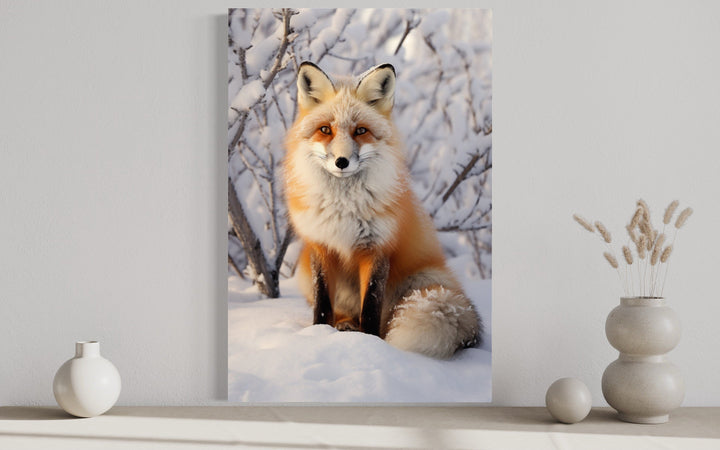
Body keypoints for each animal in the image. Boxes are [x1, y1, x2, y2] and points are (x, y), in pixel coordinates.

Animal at [283, 61, 482, 359]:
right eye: (326, 130)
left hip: (418, 283)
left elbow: (371, 308)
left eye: (360, 131)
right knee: (341, 311)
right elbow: (322, 306)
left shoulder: (376, 249)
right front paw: (317, 335)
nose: (342, 161)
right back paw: (344, 324)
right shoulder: (321, 246)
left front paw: (370, 344)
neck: (343, 207)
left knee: (389, 318)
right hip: (305, 271)